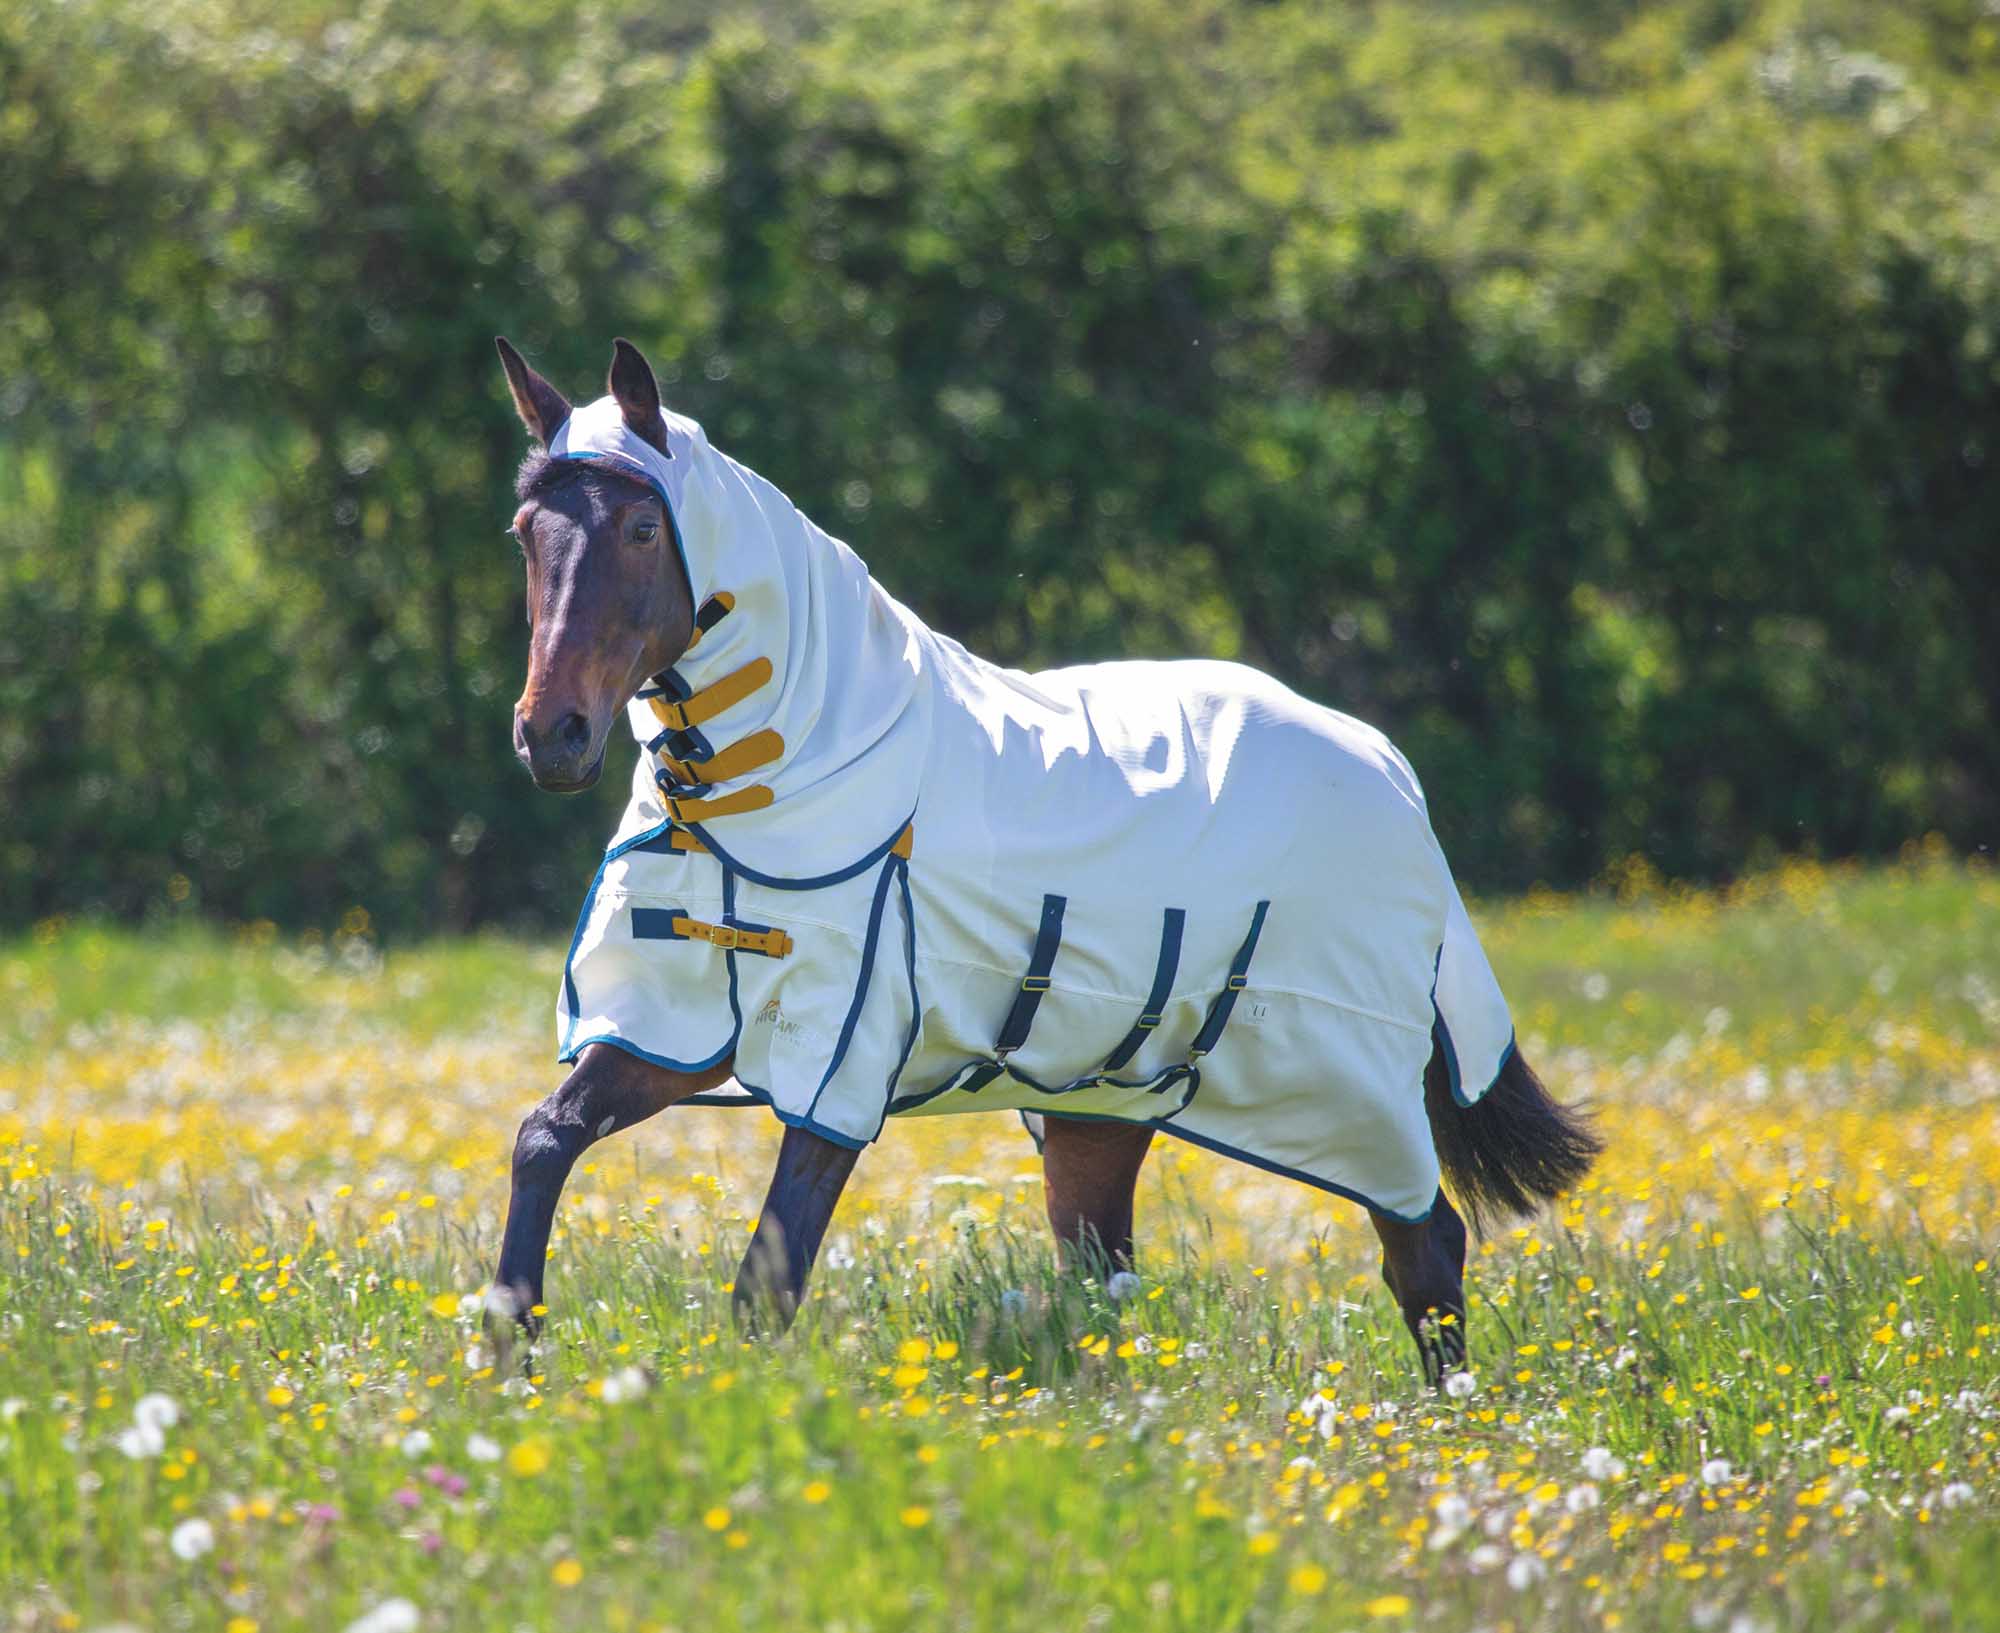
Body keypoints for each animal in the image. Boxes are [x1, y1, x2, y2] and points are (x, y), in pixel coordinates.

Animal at [485, 335, 1599, 1384]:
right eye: (525, 535)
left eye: (642, 530)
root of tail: (1385, 765)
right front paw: (510, 1354)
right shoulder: (672, 1028)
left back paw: (1445, 1420)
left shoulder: (838, 1052)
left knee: (1425, 1243)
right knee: (1107, 1268)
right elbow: (545, 1138)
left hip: (1347, 1089)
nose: (551, 737)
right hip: (1103, 1106)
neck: (785, 768)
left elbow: (769, 1277)